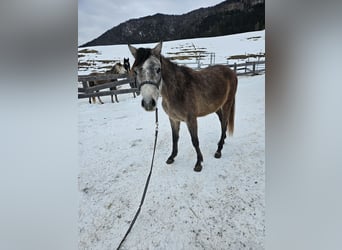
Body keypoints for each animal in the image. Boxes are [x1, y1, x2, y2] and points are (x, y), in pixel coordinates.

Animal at [128, 42, 238, 172]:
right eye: (135, 71)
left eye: (158, 69)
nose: (148, 103)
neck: (178, 90)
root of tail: (231, 71)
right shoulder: (173, 119)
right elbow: (175, 138)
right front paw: (172, 157)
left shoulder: (191, 119)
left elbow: (195, 141)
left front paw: (198, 163)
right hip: (216, 107)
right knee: (222, 122)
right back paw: (222, 140)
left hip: (227, 104)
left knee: (225, 123)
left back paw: (219, 150)